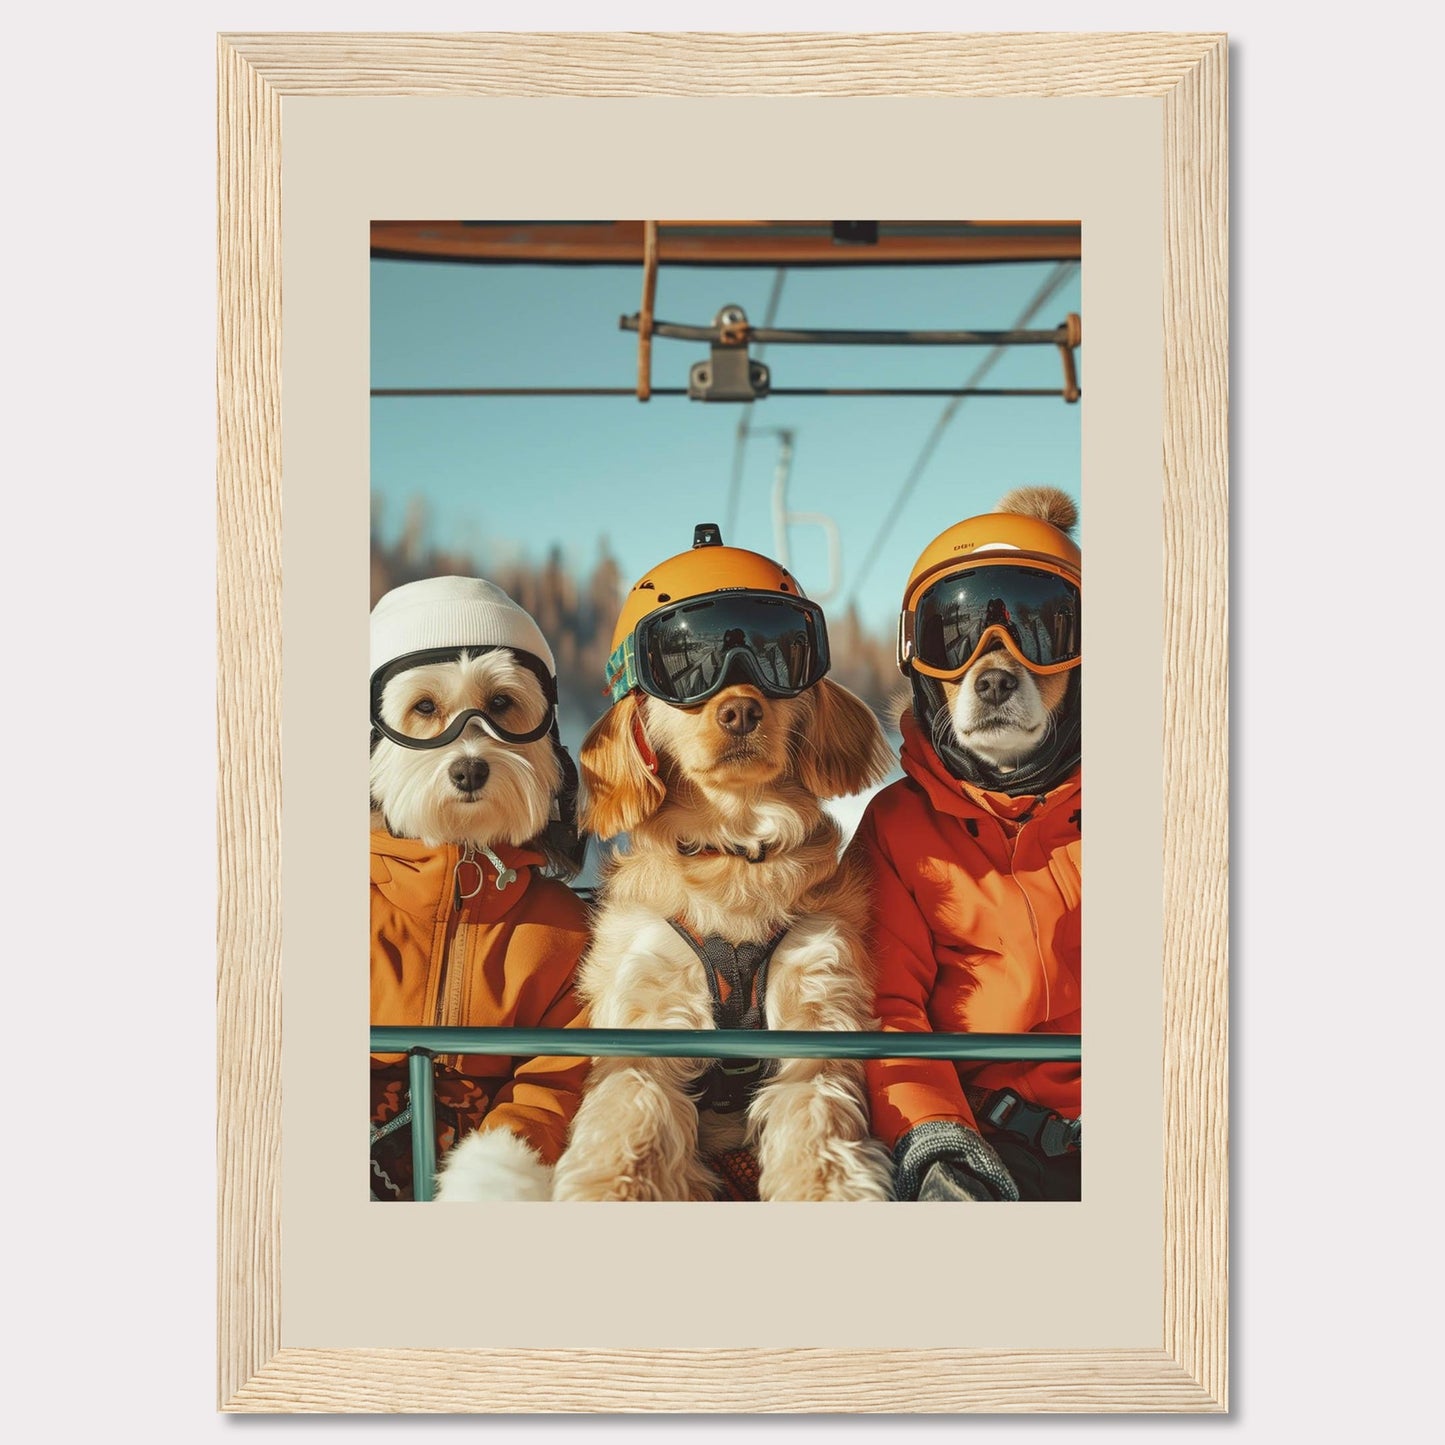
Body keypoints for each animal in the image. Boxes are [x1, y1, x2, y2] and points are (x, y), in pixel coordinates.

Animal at [549, 679, 890, 1208]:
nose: (741, 712)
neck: (734, 848)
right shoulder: (648, 1006)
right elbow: (630, 1105)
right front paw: (612, 1191)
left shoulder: (817, 996)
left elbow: (817, 1115)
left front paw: (827, 1190)